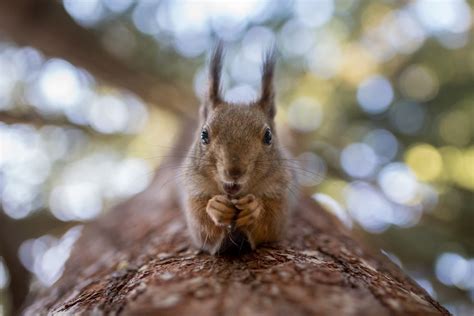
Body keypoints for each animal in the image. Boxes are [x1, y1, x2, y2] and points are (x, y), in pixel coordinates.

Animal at [181, 44, 296, 256]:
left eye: (268, 136)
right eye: (204, 134)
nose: (234, 171)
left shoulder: (279, 194)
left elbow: (272, 223)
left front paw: (254, 208)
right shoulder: (195, 190)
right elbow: (200, 225)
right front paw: (215, 207)